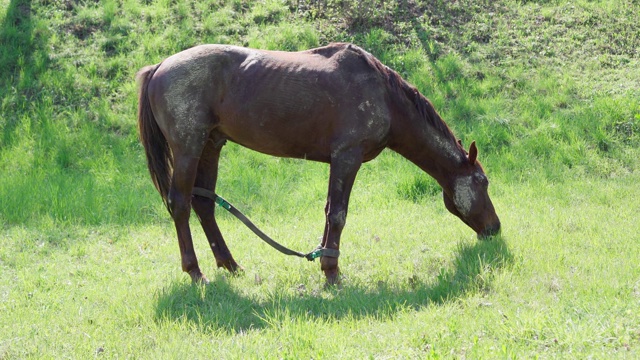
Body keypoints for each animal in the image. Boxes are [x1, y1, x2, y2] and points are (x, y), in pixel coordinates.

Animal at [136, 43, 500, 284]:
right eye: (482, 183)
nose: (495, 228)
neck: (383, 95)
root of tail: (160, 67)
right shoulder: (347, 158)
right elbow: (338, 214)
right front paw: (332, 272)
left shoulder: (337, 163)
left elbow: (328, 212)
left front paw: (324, 261)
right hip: (188, 147)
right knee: (180, 203)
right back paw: (195, 271)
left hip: (211, 146)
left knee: (204, 204)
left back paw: (230, 265)